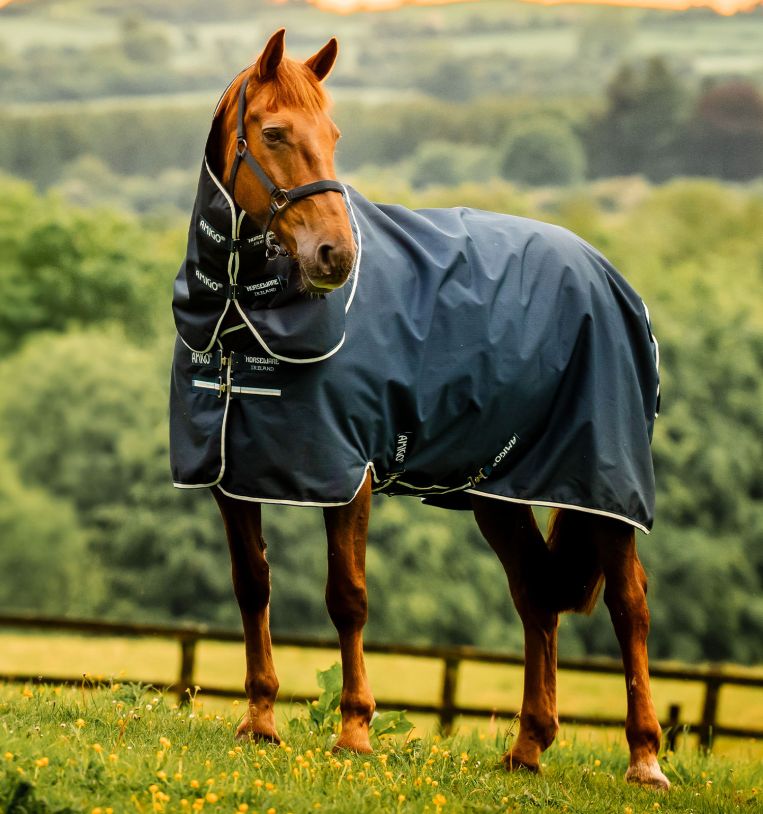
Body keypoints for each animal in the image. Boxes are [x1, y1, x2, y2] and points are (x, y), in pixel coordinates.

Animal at [169, 29, 669, 790]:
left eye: (334, 135)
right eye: (275, 133)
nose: (335, 256)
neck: (238, 320)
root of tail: (610, 277)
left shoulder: (348, 474)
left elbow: (346, 596)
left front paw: (353, 731)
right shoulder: (232, 474)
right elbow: (251, 586)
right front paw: (259, 721)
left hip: (602, 486)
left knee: (628, 605)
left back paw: (644, 758)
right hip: (499, 491)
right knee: (535, 595)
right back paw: (528, 747)